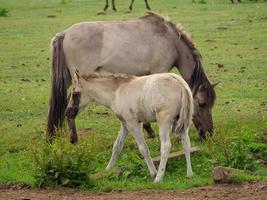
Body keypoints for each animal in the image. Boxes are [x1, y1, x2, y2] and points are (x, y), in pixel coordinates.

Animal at [46, 11, 218, 142]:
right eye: (202, 104)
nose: (208, 133)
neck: (169, 39)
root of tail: (64, 34)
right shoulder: (159, 71)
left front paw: (148, 129)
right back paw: (74, 138)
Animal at [66, 70, 194, 183]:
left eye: (74, 93)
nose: (67, 113)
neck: (117, 92)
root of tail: (180, 83)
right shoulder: (125, 124)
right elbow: (117, 147)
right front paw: (107, 171)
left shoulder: (133, 123)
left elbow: (143, 148)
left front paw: (153, 173)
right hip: (182, 121)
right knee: (186, 142)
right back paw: (189, 174)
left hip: (164, 121)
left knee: (166, 146)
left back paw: (159, 178)